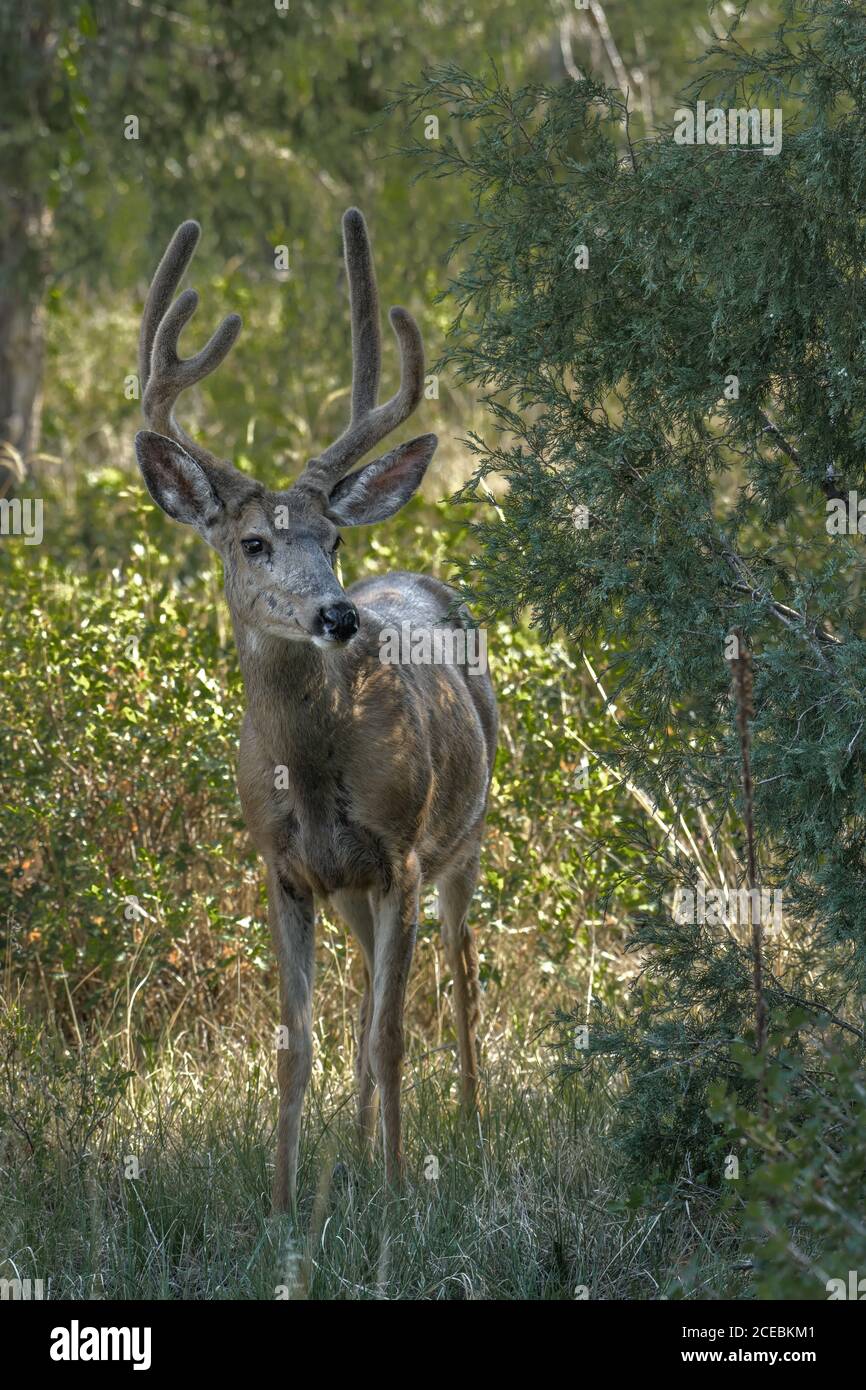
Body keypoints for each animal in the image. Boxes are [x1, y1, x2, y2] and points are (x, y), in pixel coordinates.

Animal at [136, 208, 500, 1217]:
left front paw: (397, 1197)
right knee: (371, 990)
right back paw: (356, 1145)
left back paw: (467, 1122)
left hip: (464, 839)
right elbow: (298, 1046)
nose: (338, 614)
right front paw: (284, 1203)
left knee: (459, 972)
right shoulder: (286, 869)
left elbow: (391, 1035)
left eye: (333, 537)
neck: (310, 765)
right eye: (253, 542)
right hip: (351, 895)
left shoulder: (401, 855)